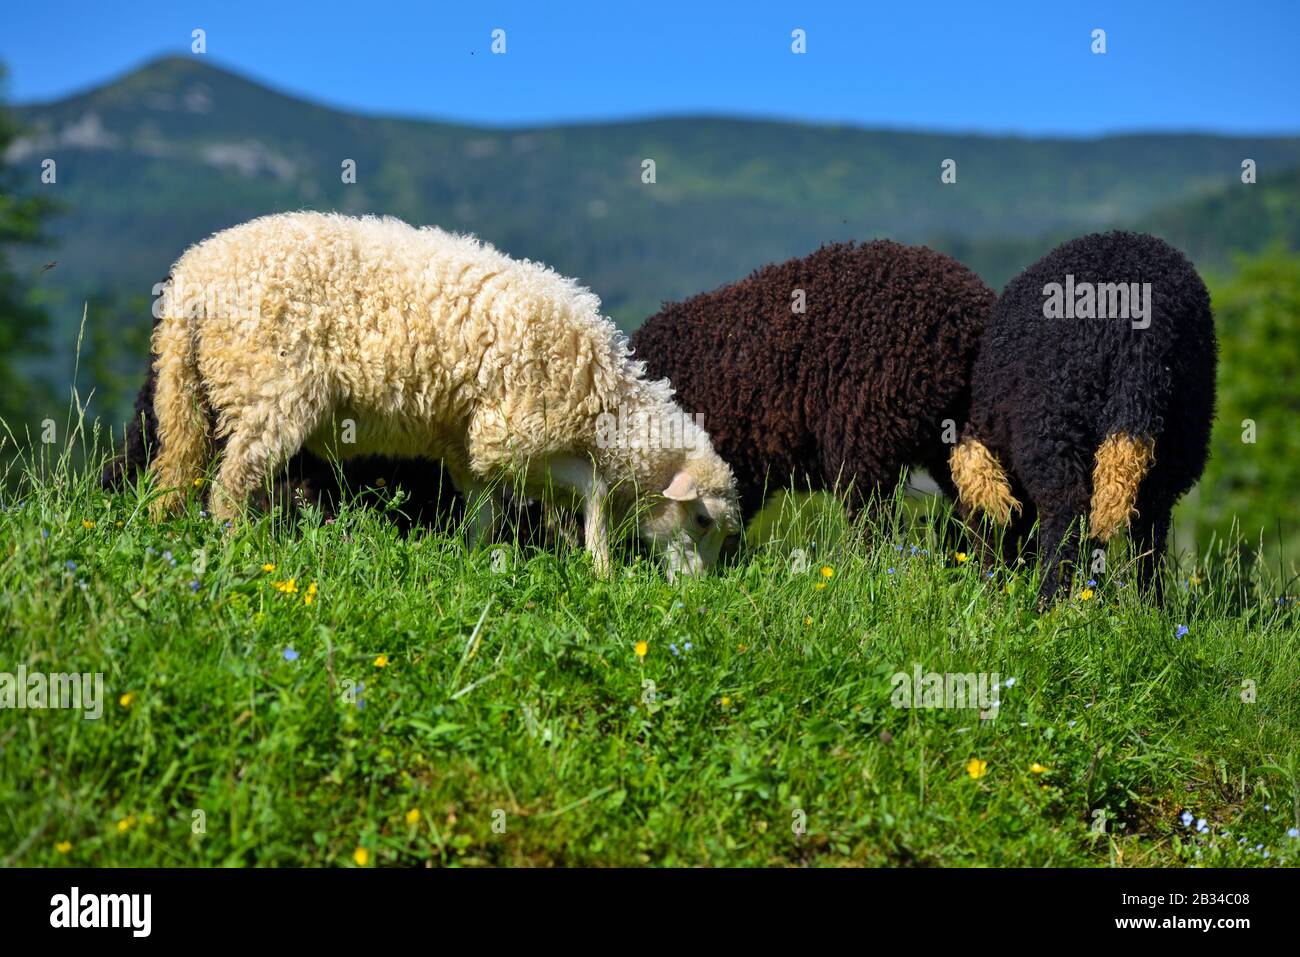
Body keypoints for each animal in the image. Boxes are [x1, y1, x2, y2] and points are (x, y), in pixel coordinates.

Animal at [149, 213, 743, 574]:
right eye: (703, 520)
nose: (696, 595)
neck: (606, 400)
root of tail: (193, 276)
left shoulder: (468, 449)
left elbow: (483, 512)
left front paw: (479, 562)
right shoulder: (508, 436)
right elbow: (591, 489)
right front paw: (600, 567)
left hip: (192, 396)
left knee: (179, 470)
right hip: (267, 391)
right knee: (229, 488)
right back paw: (243, 548)